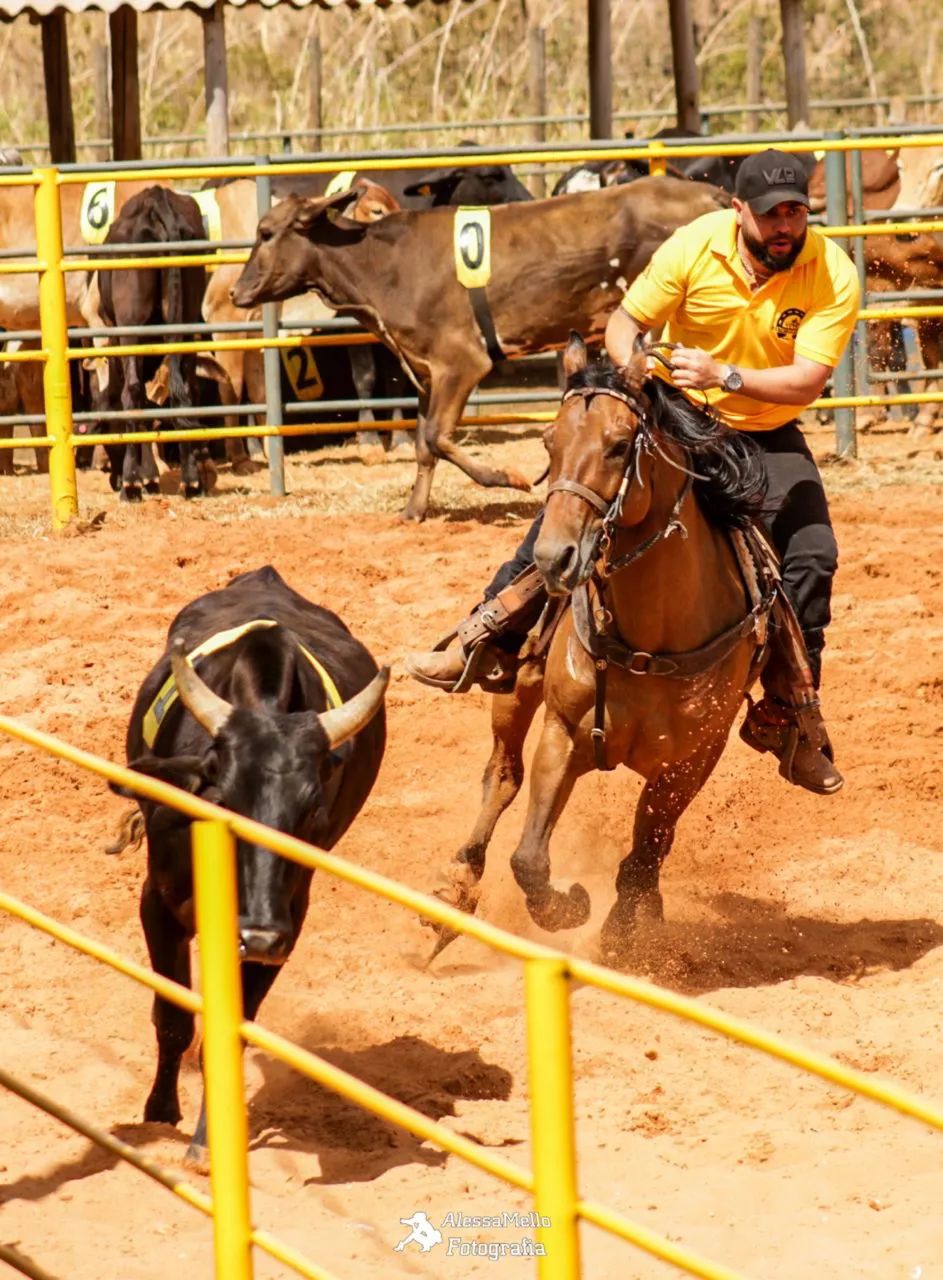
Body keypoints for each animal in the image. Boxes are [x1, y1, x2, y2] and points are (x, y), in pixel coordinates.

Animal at [433, 334, 773, 965]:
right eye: (550, 442)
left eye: (619, 446)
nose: (554, 558)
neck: (651, 642)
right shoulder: (564, 732)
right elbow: (529, 858)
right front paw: (571, 908)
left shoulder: (691, 761)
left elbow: (646, 850)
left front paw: (625, 934)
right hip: (514, 691)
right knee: (502, 777)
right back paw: (453, 892)